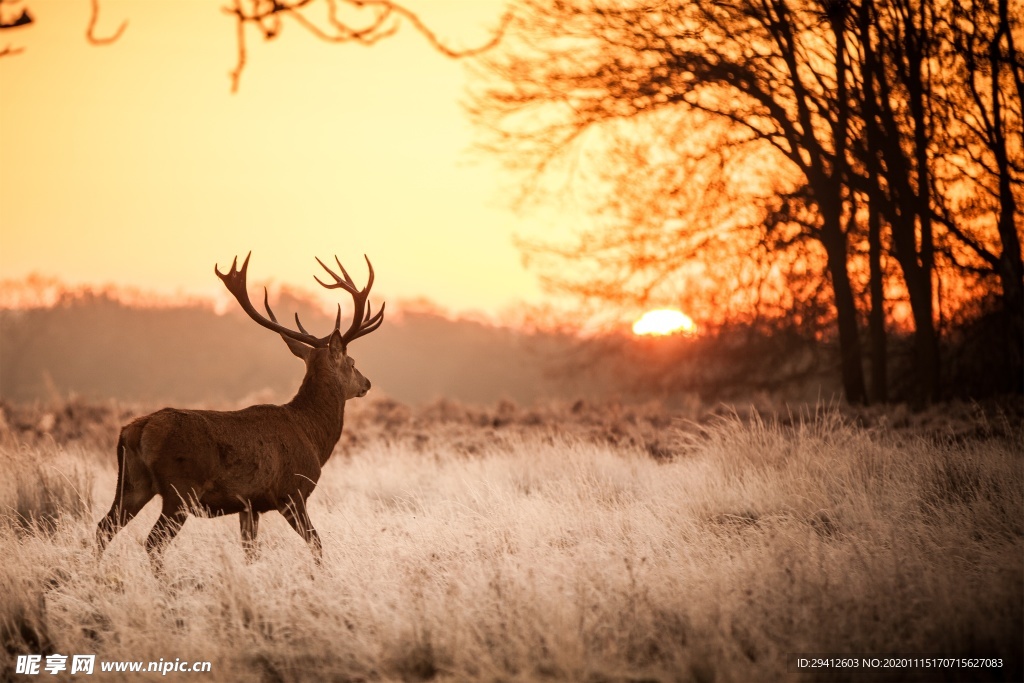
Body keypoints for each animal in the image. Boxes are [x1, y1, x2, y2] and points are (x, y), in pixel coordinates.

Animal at [95, 253, 385, 565]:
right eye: (352, 362)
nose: (367, 383)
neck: (312, 435)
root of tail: (136, 430)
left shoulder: (249, 505)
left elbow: (250, 552)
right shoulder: (292, 492)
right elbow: (317, 543)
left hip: (132, 483)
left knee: (103, 528)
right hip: (180, 489)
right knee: (153, 541)